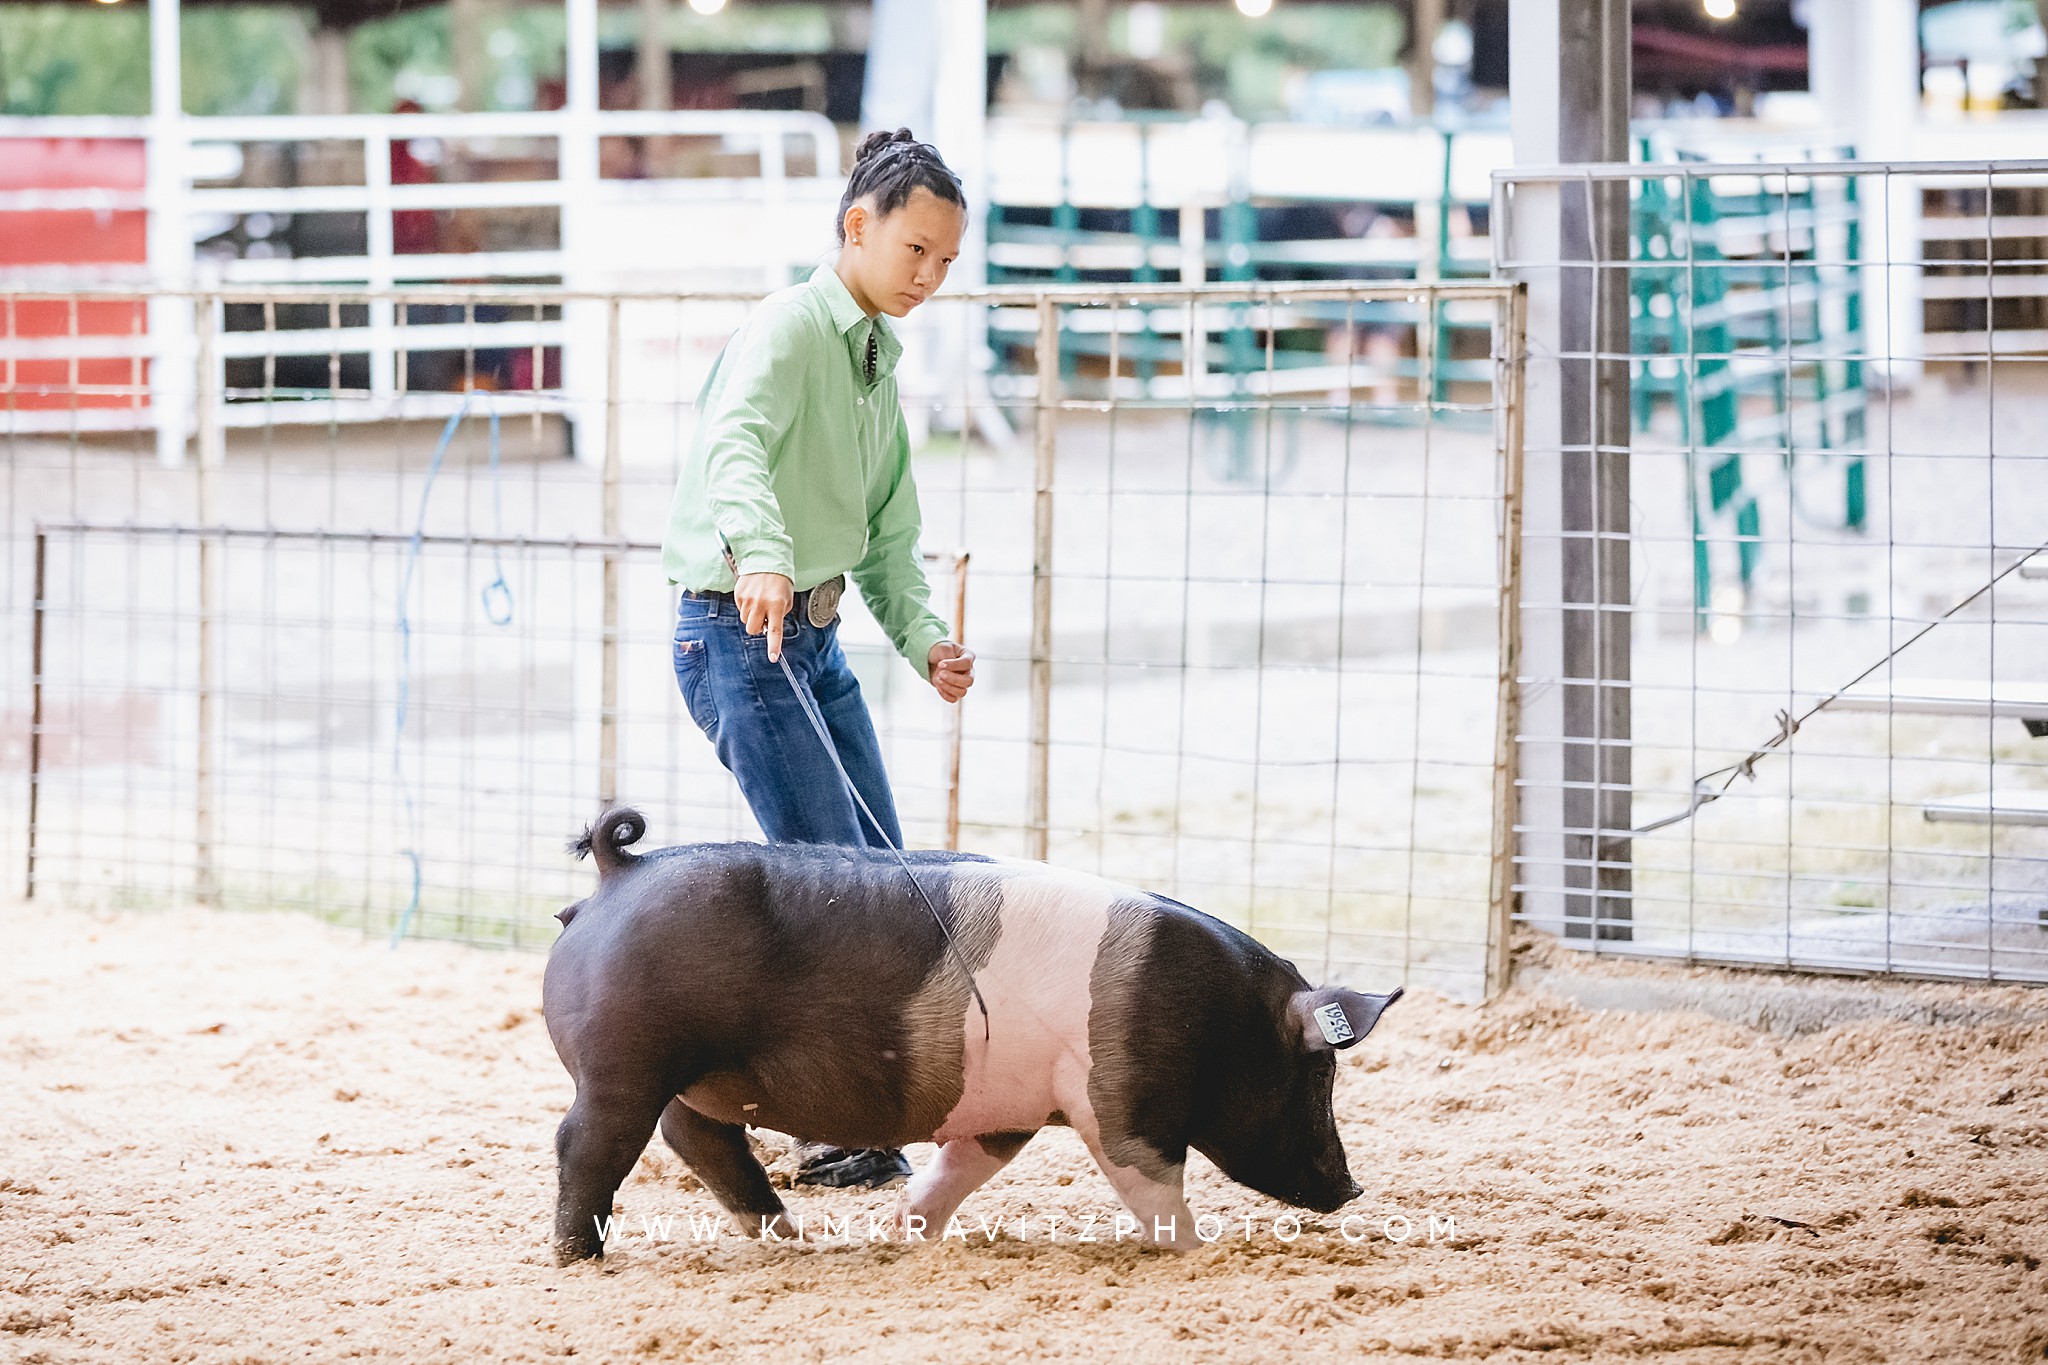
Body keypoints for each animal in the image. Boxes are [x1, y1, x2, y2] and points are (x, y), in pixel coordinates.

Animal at [536, 806, 1400, 1268]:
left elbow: (961, 1168)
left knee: (697, 1137)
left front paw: (905, 1233)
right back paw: (579, 1257)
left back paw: (791, 1238)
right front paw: (1197, 1249)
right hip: (625, 1059)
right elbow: (1149, 1180)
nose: (1353, 1187)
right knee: (589, 1141)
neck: (1224, 1020)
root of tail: (620, 871)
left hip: (691, 1074)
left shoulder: (1007, 1113)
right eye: (1317, 1076)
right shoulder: (1119, 1097)